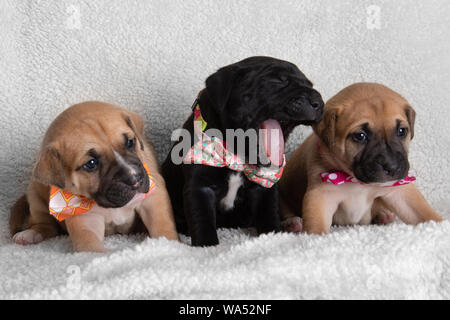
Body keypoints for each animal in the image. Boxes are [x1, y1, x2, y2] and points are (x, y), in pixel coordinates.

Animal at [9, 101, 178, 251]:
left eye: (130, 142)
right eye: (91, 164)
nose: (134, 179)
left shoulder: (153, 196)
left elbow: (162, 225)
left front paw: (169, 244)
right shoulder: (84, 217)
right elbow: (89, 244)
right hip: (35, 195)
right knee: (46, 225)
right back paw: (30, 234)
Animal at [162, 56, 324, 246]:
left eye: (310, 85)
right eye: (278, 81)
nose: (319, 103)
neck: (237, 155)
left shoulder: (264, 188)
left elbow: (269, 214)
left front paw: (274, 236)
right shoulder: (199, 187)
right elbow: (202, 220)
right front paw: (207, 245)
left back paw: (291, 223)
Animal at [282, 82, 442, 234]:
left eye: (402, 131)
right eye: (360, 136)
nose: (392, 167)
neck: (357, 182)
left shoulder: (399, 191)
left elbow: (424, 212)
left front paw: (441, 226)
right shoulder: (321, 196)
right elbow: (316, 227)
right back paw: (292, 223)